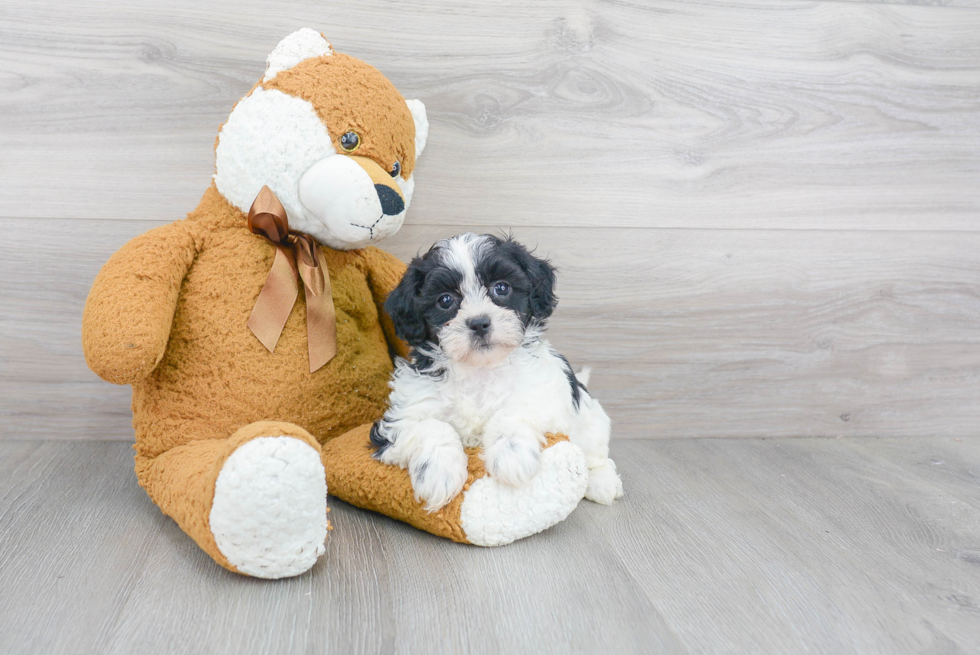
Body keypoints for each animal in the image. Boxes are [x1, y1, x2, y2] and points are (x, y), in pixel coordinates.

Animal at [372, 233, 624, 516]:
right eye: (445, 300)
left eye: (501, 288)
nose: (479, 323)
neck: (479, 369)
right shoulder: (396, 422)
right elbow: (431, 426)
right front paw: (439, 473)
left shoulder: (541, 395)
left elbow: (509, 413)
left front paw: (511, 454)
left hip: (590, 420)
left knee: (595, 452)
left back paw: (602, 482)